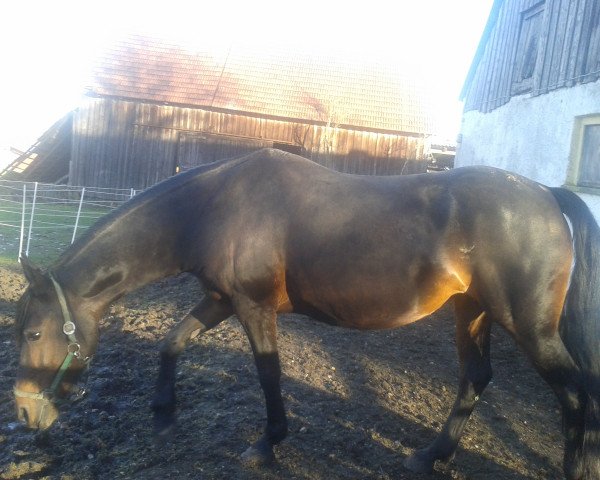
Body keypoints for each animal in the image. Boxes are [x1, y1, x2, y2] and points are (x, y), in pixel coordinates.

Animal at [11, 149, 600, 476]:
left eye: (34, 332)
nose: (23, 413)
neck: (214, 206)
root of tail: (546, 194)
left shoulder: (252, 306)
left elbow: (268, 373)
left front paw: (267, 444)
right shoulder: (220, 299)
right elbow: (171, 342)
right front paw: (162, 415)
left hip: (527, 325)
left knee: (573, 392)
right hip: (472, 312)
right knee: (476, 377)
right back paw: (430, 456)